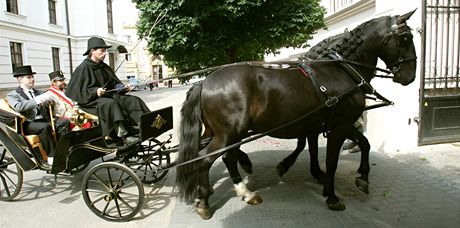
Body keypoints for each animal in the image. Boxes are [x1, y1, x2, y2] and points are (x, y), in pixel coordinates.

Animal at [175, 11, 416, 219]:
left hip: (224, 133)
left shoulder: (331, 124)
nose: (410, 77)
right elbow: (331, 160)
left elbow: (362, 144)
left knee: (227, 157)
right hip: (228, 134)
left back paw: (242, 192)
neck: (342, 70)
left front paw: (361, 178)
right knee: (206, 159)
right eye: (406, 37)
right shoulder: (339, 126)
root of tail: (204, 81)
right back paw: (205, 201)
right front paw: (331, 195)